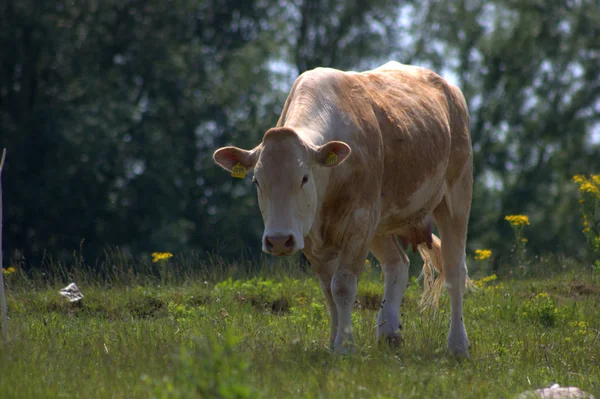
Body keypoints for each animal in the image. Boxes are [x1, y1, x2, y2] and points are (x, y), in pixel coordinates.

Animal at [214, 61, 474, 356]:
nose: (279, 240)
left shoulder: (360, 221)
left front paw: (345, 346)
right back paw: (389, 331)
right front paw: (334, 340)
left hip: (456, 193)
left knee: (455, 270)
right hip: (381, 223)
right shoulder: (309, 235)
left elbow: (343, 285)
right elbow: (328, 290)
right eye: (257, 181)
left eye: (304, 178)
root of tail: (448, 87)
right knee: (397, 263)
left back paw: (457, 344)